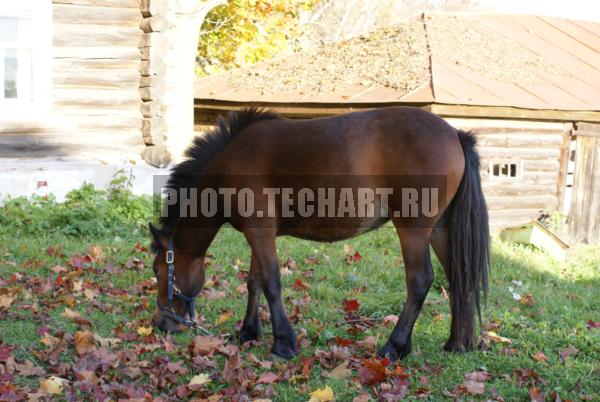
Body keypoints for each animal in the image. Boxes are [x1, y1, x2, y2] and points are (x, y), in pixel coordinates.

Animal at [149, 107, 488, 362]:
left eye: (157, 269)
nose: (161, 324)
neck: (230, 165)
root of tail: (455, 134)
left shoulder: (259, 232)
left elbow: (271, 282)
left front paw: (283, 343)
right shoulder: (258, 234)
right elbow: (254, 282)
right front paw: (248, 332)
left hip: (413, 230)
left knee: (420, 281)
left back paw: (394, 347)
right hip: (440, 229)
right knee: (458, 277)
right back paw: (456, 343)